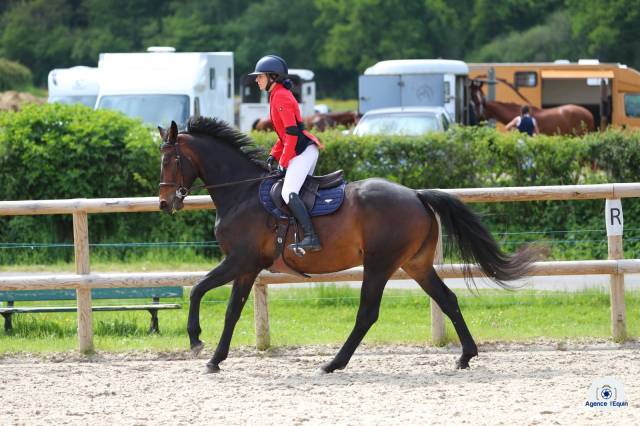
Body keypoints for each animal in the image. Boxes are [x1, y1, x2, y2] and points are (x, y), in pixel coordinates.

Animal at [158, 116, 541, 374]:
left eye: (169, 160)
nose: (164, 204)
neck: (242, 193)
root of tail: (416, 194)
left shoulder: (241, 261)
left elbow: (199, 290)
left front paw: (197, 342)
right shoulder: (247, 268)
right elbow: (231, 311)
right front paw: (215, 358)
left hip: (379, 264)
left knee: (367, 313)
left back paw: (333, 363)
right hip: (415, 264)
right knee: (447, 299)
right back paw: (465, 355)